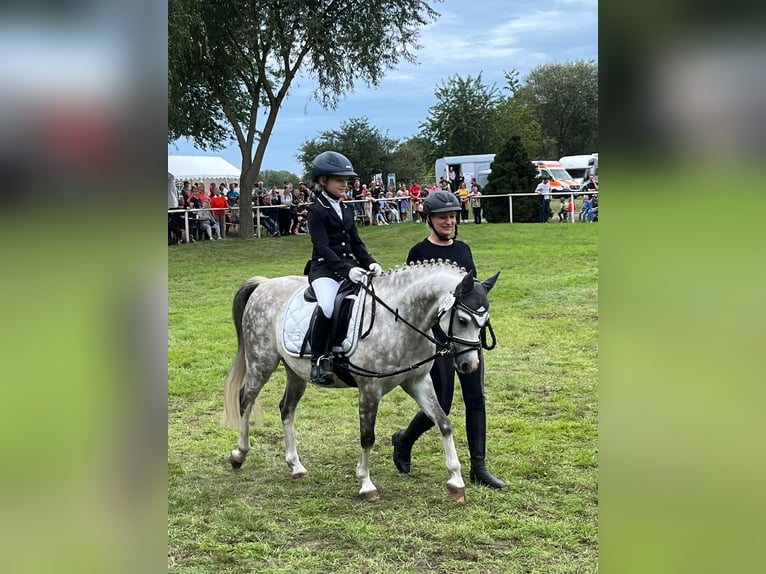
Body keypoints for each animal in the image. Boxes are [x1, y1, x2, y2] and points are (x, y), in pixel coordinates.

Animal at [221, 260, 499, 502]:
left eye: (484, 322)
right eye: (462, 320)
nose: (470, 365)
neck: (399, 319)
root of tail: (264, 284)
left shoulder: (418, 382)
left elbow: (443, 423)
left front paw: (456, 482)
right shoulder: (370, 389)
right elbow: (367, 437)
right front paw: (366, 485)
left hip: (296, 373)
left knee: (286, 409)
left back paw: (296, 466)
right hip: (261, 363)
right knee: (245, 401)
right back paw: (239, 454)